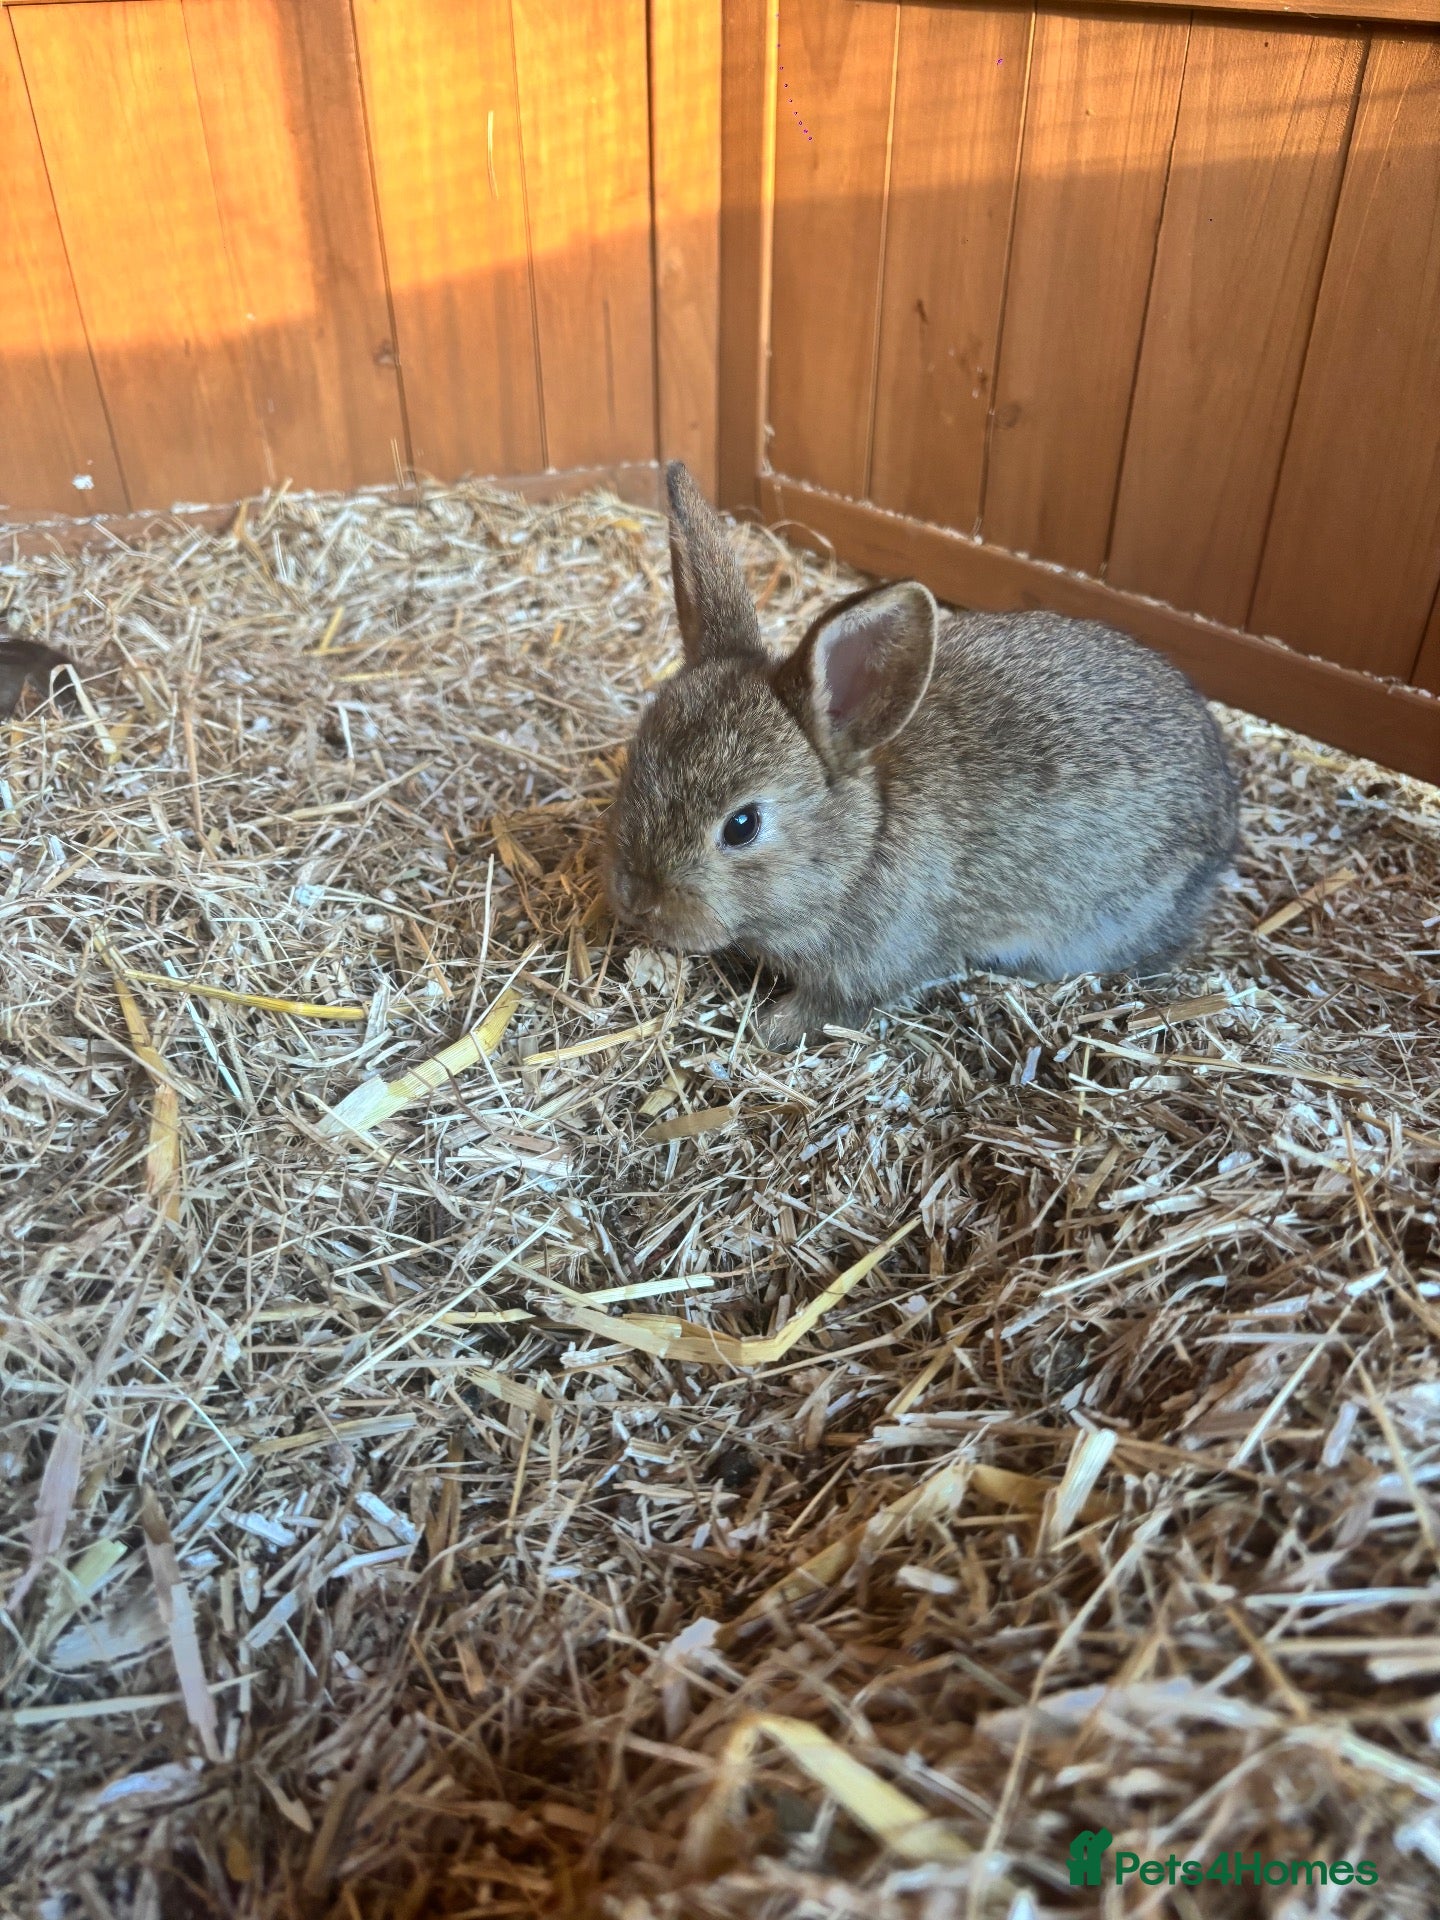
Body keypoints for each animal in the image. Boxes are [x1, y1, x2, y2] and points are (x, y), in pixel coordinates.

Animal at [605, 461, 1239, 1049]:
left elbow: (834, 1008)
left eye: (742, 826)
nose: (635, 899)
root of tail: (1227, 817)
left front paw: (772, 1029)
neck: (861, 842)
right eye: (636, 763)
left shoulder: (867, 968)